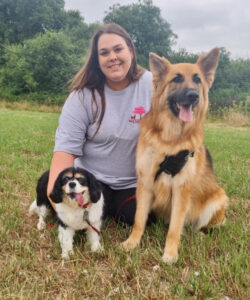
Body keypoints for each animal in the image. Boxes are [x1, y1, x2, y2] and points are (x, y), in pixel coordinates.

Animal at [122, 48, 229, 264]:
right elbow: (139, 220)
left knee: (200, 226)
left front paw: (170, 254)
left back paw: (198, 234)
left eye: (197, 79)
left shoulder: (182, 190)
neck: (169, 139)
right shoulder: (145, 183)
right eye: (177, 78)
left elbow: (174, 227)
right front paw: (132, 243)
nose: (193, 95)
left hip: (218, 198)